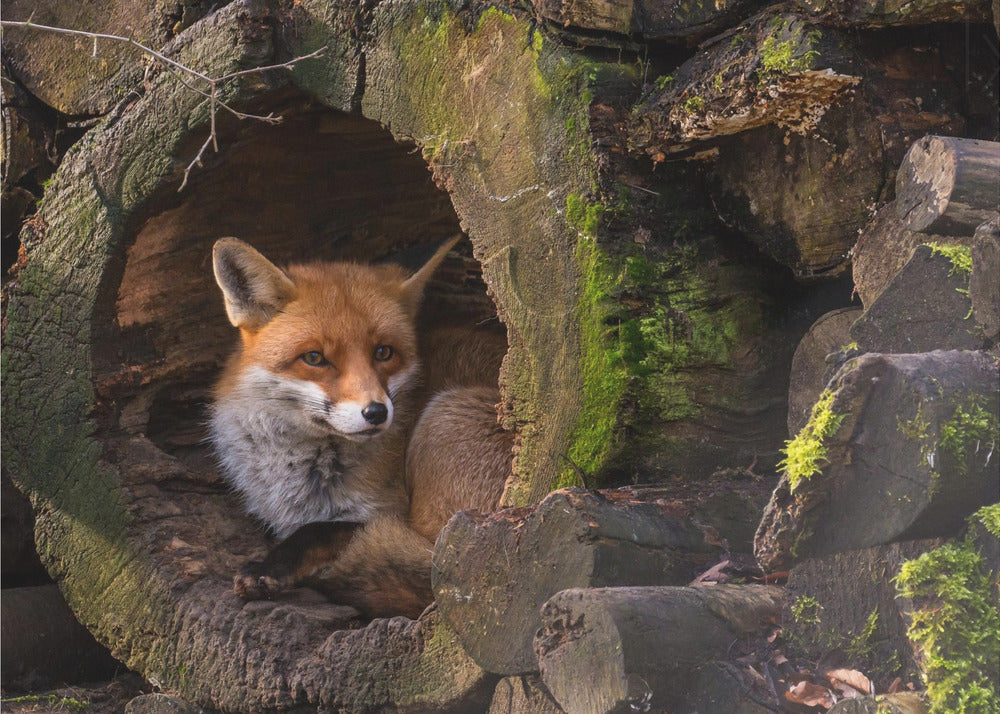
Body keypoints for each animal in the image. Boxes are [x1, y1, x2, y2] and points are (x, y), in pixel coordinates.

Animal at [208, 236, 513, 618]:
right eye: (314, 358)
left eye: (383, 352)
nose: (376, 412)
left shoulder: (387, 512)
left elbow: (320, 530)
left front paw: (270, 567)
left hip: (444, 429)